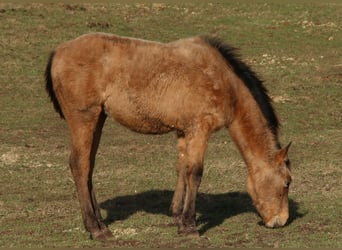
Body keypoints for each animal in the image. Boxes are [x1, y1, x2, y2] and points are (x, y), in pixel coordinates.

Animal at [44, 33, 292, 240]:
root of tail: (58, 51)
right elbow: (196, 173)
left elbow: (182, 169)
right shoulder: (200, 129)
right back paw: (96, 229)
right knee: (80, 165)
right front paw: (190, 226)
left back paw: (99, 223)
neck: (222, 79)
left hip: (98, 119)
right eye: (287, 182)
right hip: (84, 119)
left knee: (89, 167)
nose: (281, 221)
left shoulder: (184, 132)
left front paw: (177, 217)